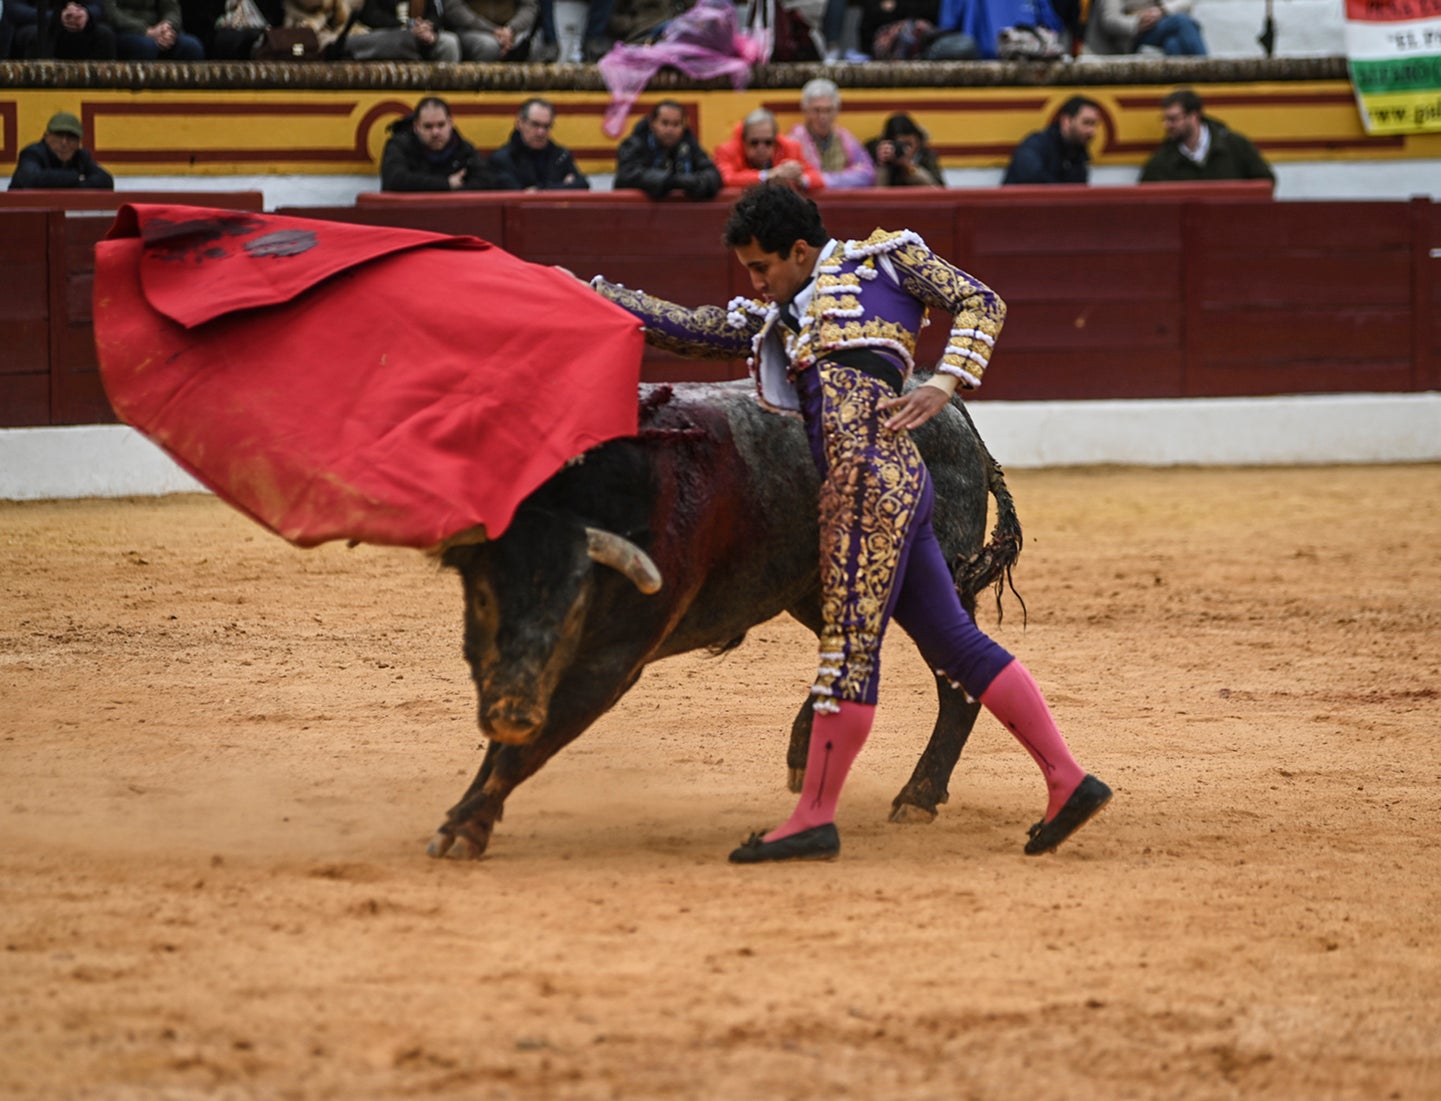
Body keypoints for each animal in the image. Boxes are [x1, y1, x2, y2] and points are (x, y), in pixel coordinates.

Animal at [420, 377, 1020, 858]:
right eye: (482, 599)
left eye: (575, 604)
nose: (512, 711)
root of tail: (940, 402)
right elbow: (508, 743)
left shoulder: (611, 662)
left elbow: (526, 747)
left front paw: (463, 827)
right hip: (813, 588)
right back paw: (807, 750)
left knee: (961, 679)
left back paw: (917, 795)